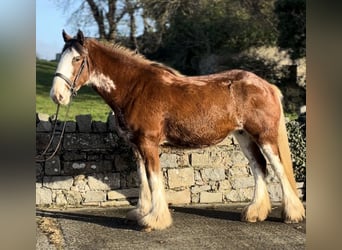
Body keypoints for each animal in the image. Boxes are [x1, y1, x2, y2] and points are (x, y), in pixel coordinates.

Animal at [50, 29, 304, 230]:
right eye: (61, 57)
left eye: (77, 59)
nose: (57, 96)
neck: (135, 89)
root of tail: (267, 85)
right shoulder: (137, 146)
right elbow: (143, 179)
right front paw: (141, 212)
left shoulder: (149, 144)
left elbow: (154, 179)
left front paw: (155, 220)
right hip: (244, 136)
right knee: (259, 166)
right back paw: (254, 212)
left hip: (265, 136)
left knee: (278, 168)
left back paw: (292, 214)